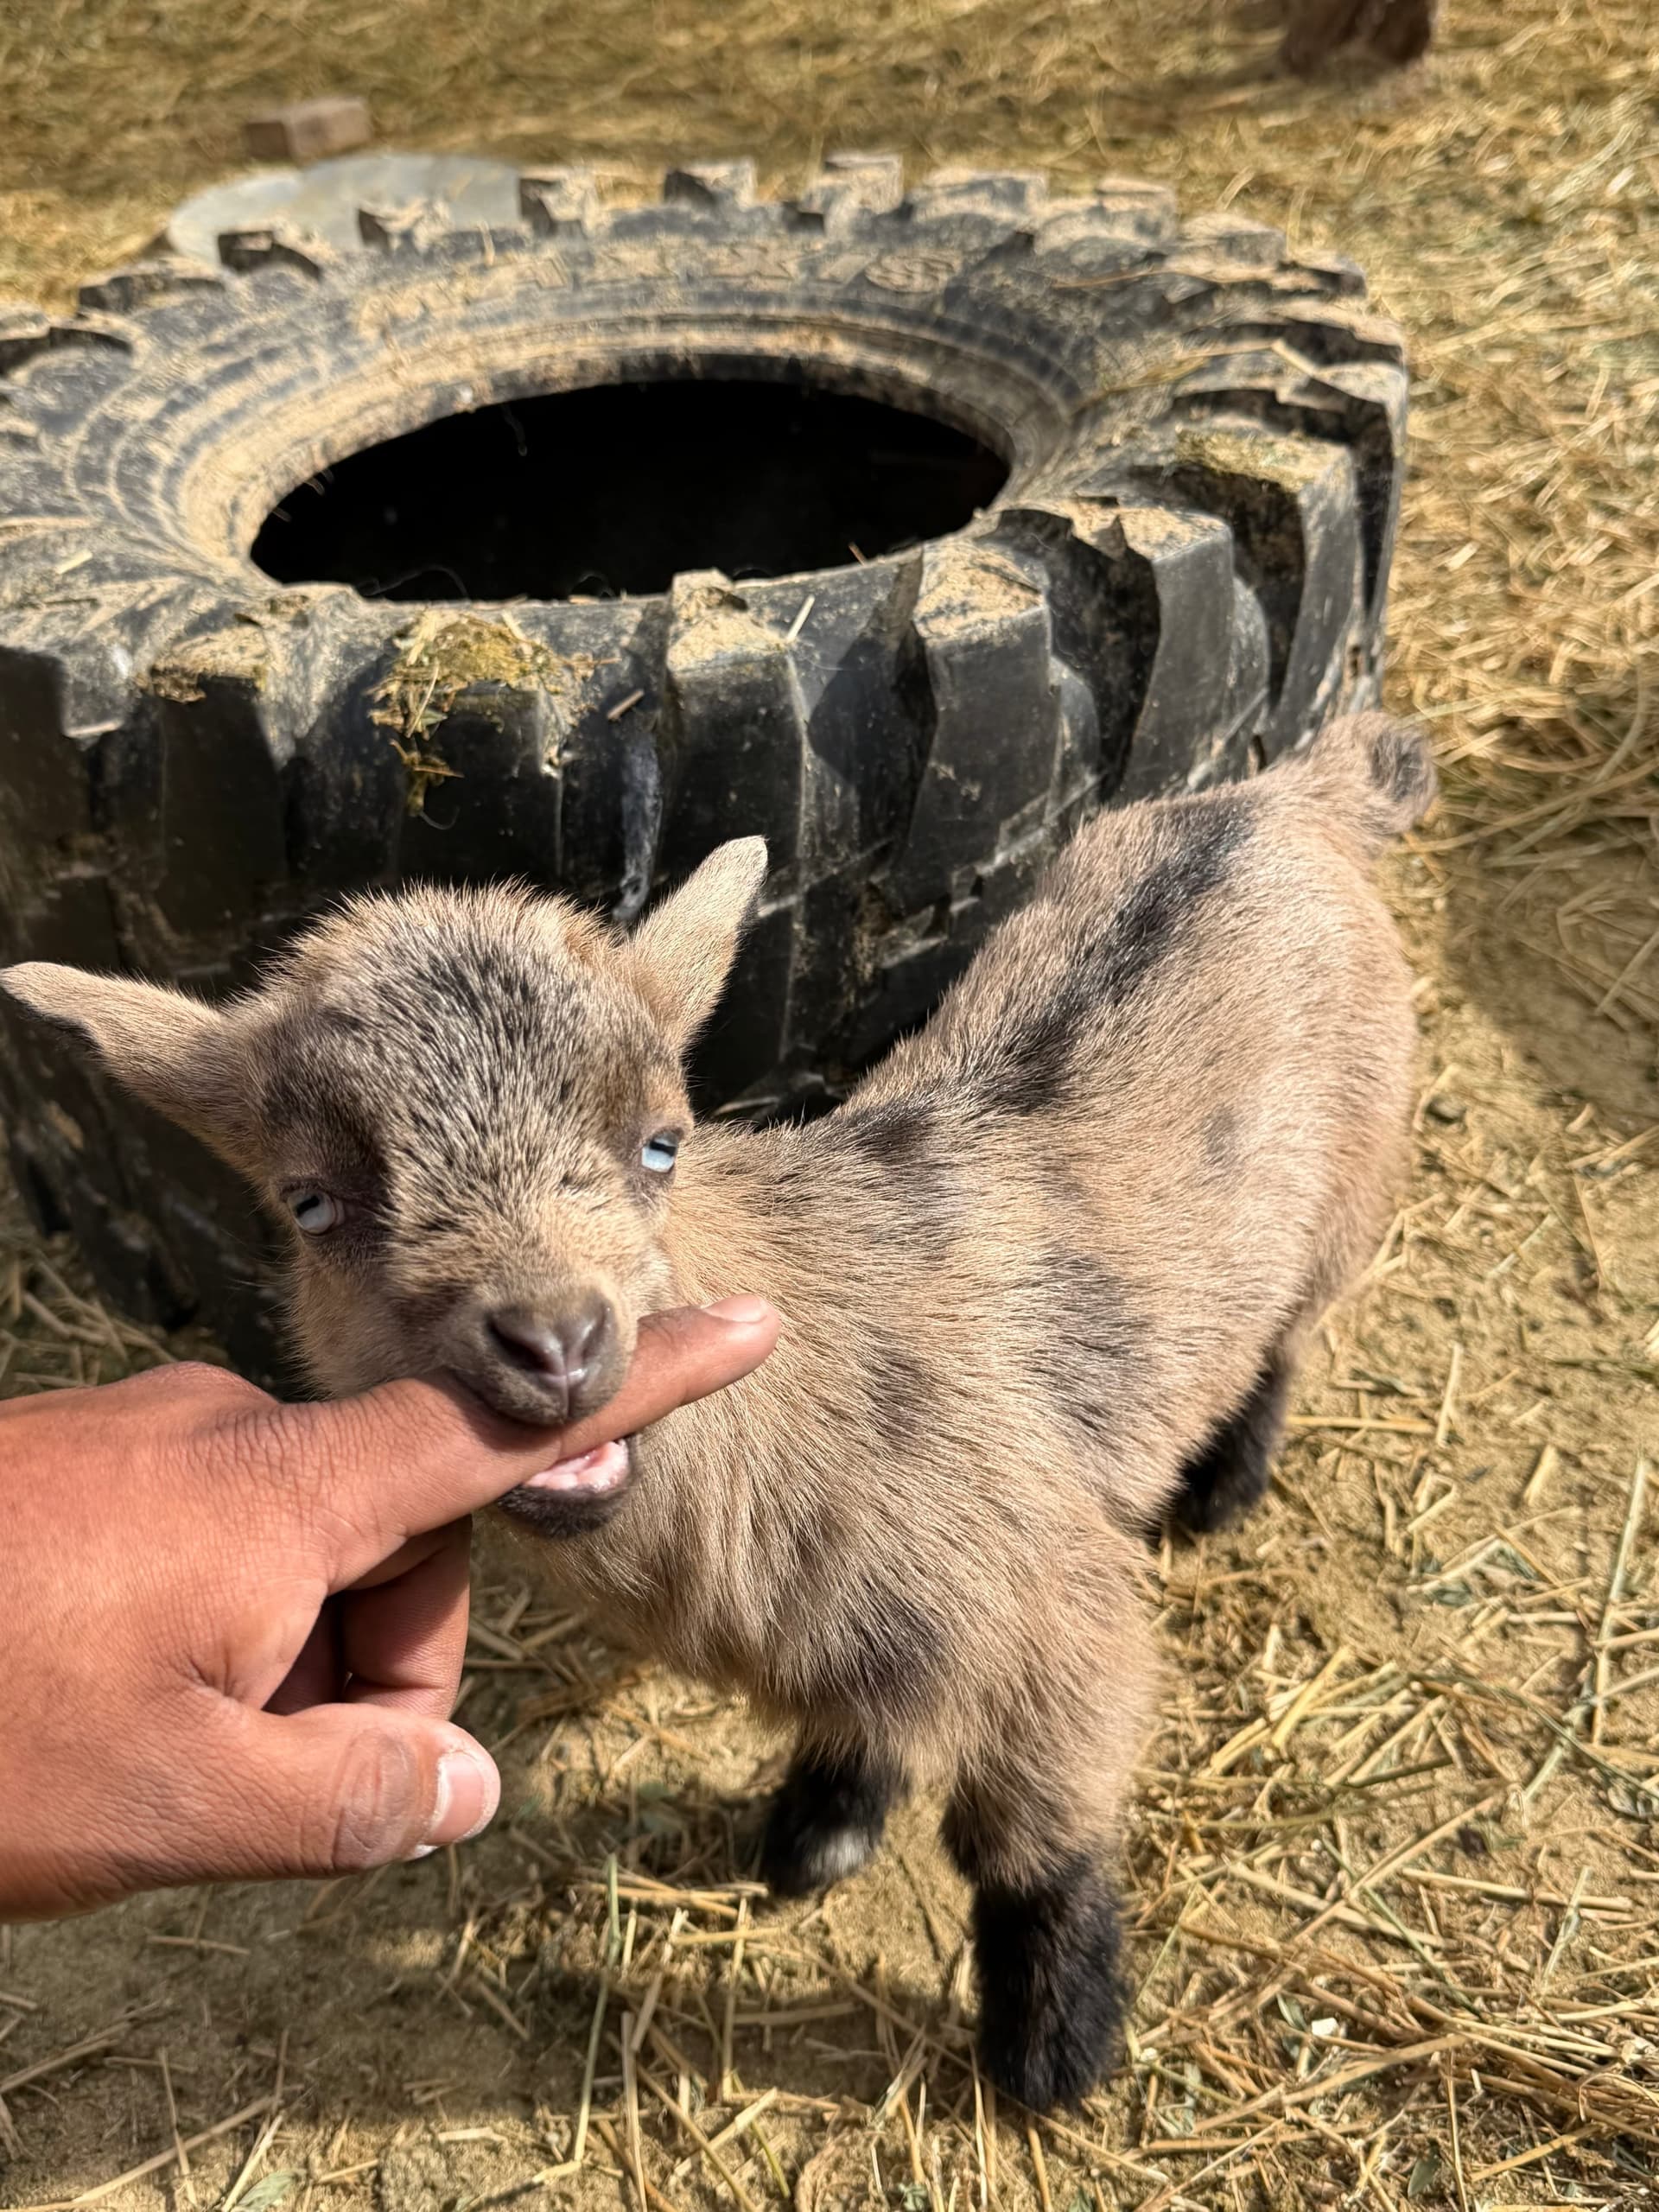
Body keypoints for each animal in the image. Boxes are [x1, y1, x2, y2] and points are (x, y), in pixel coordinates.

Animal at [2, 710, 1434, 2109]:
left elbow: (1036, 1838)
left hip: (1353, 1180)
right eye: (310, 1203)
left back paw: (1227, 1484)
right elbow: (877, 1717)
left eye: (662, 1143)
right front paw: (823, 1829)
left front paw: (1053, 2054)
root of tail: (1288, 799)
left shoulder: (1054, 1601)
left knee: (1290, 1334)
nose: (559, 1341)